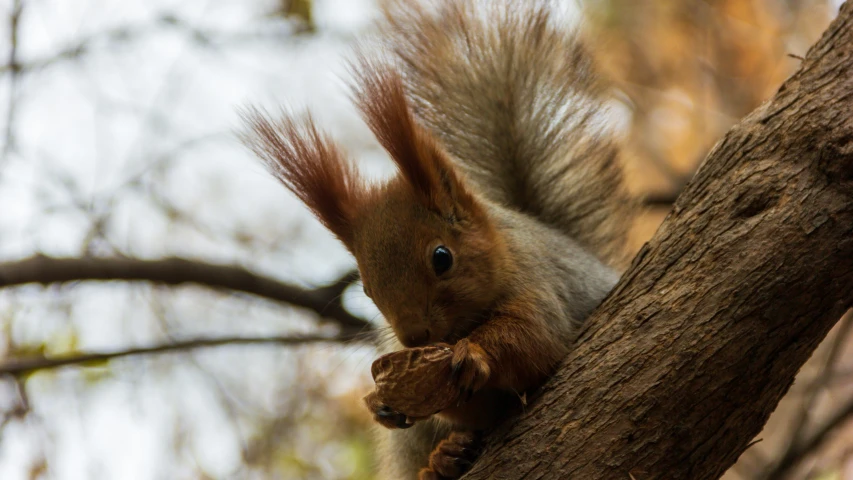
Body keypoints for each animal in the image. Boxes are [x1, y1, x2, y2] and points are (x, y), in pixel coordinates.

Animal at [240, 0, 632, 480]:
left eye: (442, 258)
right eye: (366, 289)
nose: (413, 337)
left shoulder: (538, 284)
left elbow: (535, 342)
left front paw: (477, 355)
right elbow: (465, 407)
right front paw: (383, 405)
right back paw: (443, 459)